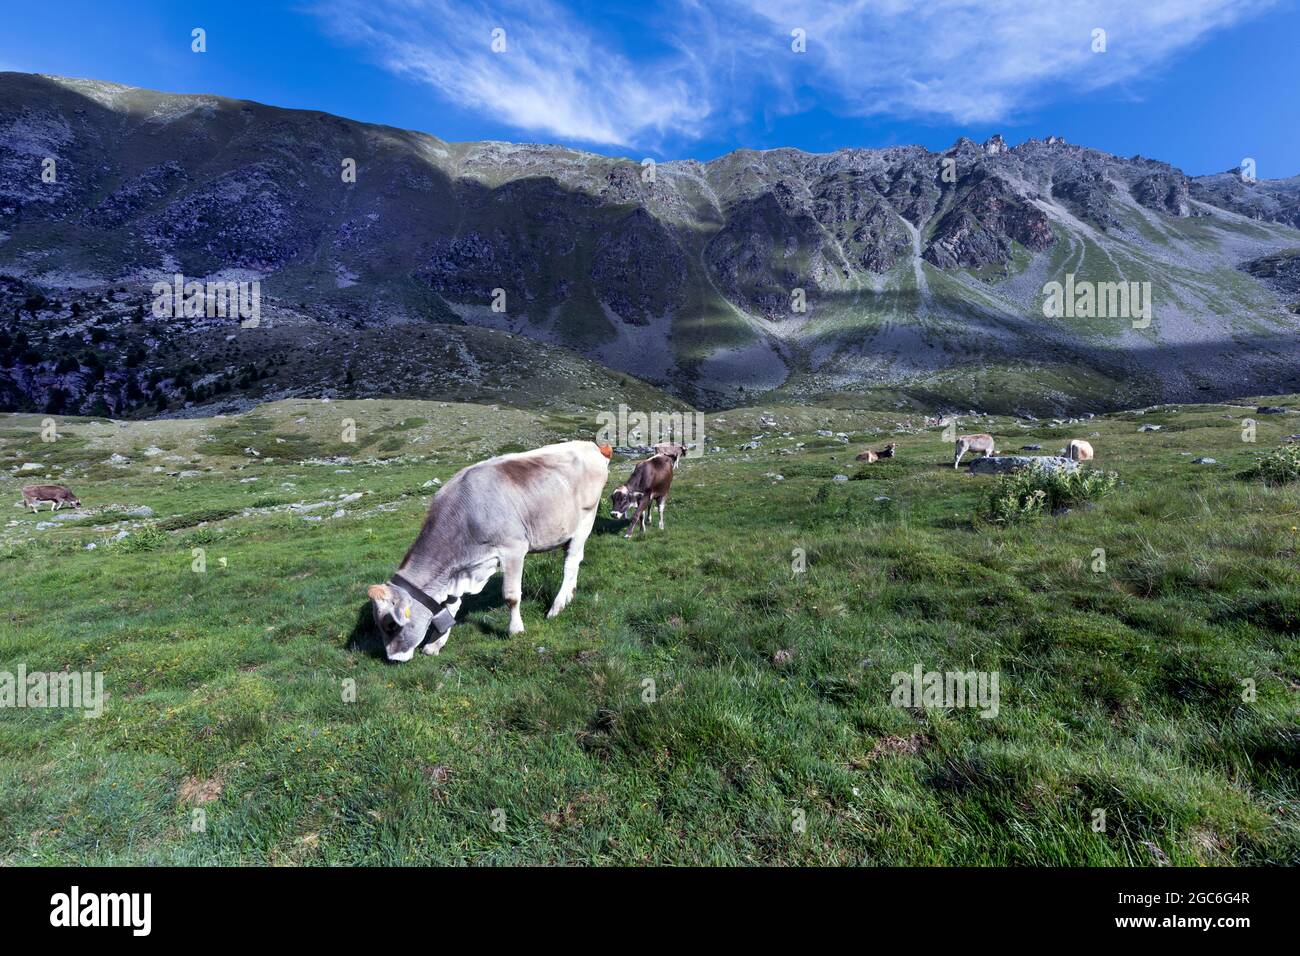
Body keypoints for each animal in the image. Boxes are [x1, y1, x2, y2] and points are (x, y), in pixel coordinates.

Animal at [366, 439, 608, 658]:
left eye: (390, 624)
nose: (393, 658)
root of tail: (591, 445)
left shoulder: (514, 548)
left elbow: (511, 596)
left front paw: (515, 630)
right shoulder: (458, 572)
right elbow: (451, 607)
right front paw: (435, 644)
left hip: (585, 520)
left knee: (571, 563)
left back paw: (556, 608)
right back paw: (568, 597)